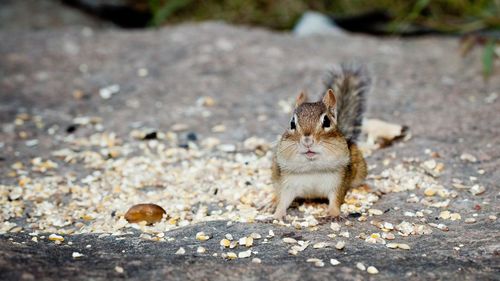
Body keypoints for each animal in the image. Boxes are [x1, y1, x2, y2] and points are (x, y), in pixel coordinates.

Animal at [272, 63, 370, 219]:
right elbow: (283, 200)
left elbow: (336, 199)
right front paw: (276, 214)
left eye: (326, 121)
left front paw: (334, 213)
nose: (307, 140)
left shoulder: (338, 181)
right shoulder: (288, 182)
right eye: (292, 123)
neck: (313, 167)